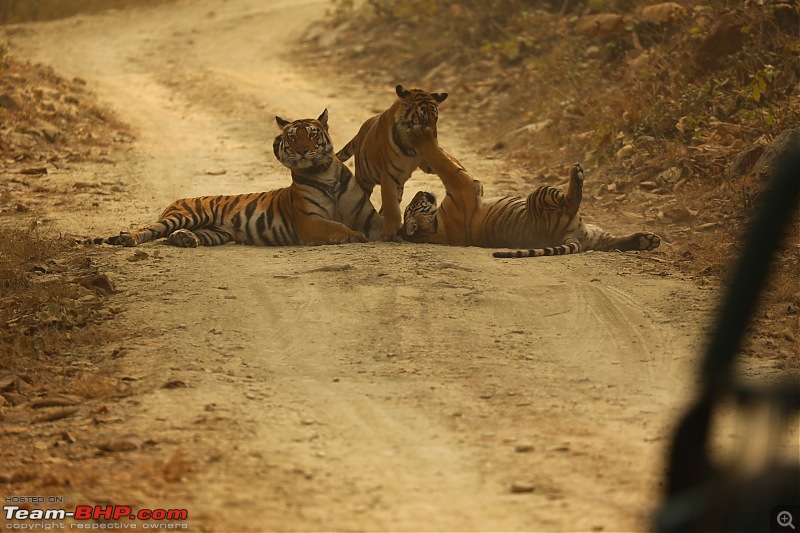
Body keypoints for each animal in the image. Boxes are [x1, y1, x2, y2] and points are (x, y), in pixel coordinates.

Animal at [83, 109, 382, 249]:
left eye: (311, 134)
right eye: (292, 137)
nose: (301, 151)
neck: (325, 173)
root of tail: (177, 200)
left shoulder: (364, 212)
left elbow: (379, 221)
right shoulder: (309, 221)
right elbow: (336, 226)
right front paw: (354, 235)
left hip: (216, 231)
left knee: (174, 237)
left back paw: (184, 239)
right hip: (185, 215)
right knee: (151, 229)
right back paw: (129, 239)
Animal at [336, 83, 450, 241]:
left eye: (436, 119)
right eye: (422, 119)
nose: (433, 137)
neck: (412, 148)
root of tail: (360, 132)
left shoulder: (426, 164)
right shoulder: (389, 175)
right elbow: (392, 208)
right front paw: (390, 234)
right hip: (365, 180)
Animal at [400, 125, 664, 258]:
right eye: (412, 206)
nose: (420, 192)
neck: (436, 227)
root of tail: (569, 238)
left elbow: (445, 158)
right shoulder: (463, 184)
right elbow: (442, 161)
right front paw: (421, 135)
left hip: (595, 234)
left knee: (611, 242)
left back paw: (646, 240)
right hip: (542, 194)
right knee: (572, 201)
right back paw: (577, 174)